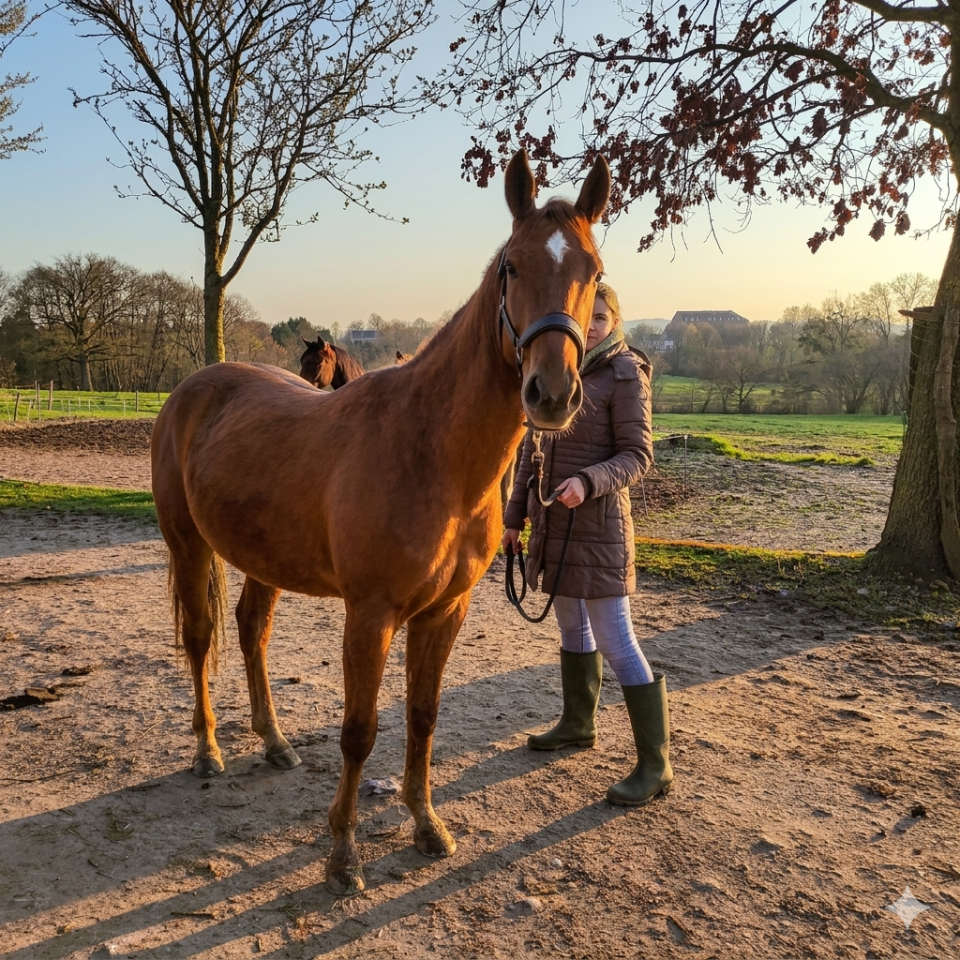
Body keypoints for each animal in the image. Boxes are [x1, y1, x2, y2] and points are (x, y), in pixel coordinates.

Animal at [150, 149, 610, 896]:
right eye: (511, 266)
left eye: (594, 273)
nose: (552, 393)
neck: (432, 453)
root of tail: (192, 389)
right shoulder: (370, 615)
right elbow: (360, 729)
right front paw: (343, 854)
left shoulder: (444, 612)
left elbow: (422, 717)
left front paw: (426, 824)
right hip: (188, 544)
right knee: (200, 639)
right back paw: (208, 749)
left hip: (263, 557)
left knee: (251, 631)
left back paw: (274, 741)